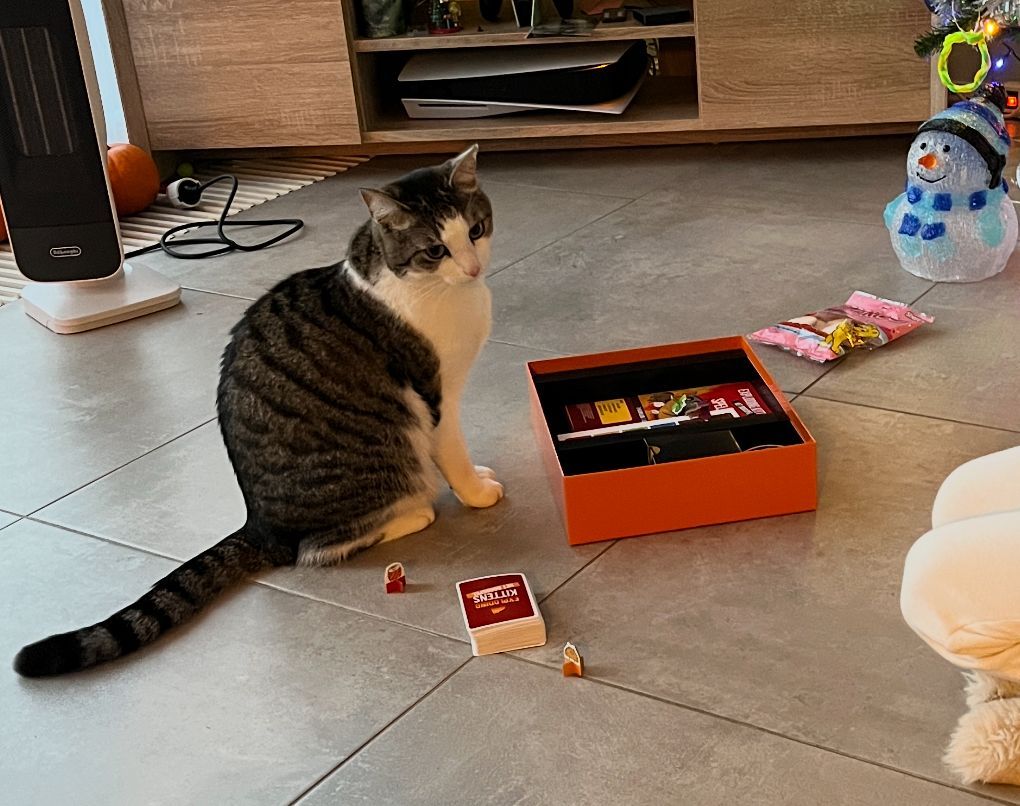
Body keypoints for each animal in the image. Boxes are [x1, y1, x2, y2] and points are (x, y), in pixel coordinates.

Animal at [14, 145, 502, 677]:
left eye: (475, 231)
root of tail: (259, 525)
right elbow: (452, 453)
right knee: (313, 549)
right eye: (435, 251)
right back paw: (413, 514)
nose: (473, 269)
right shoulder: (437, 393)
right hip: (387, 456)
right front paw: (477, 492)